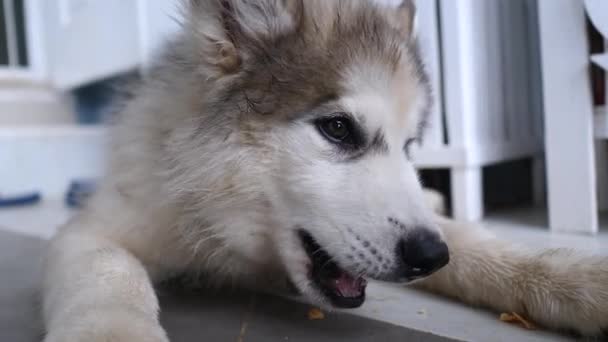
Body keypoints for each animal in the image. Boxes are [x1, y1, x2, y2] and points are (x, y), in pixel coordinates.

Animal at [40, 0, 604, 340]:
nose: (429, 257)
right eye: (338, 129)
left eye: (410, 146)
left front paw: (576, 282)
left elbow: (477, 244)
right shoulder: (99, 226)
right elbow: (110, 273)